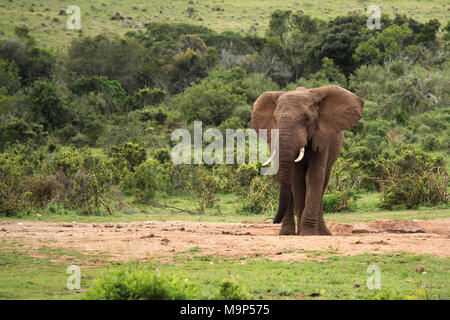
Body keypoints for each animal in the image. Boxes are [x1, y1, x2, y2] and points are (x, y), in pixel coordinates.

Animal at [251, 86, 364, 236]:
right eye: (275, 120)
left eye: (306, 119)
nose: (273, 220)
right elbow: (297, 180)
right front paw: (303, 232)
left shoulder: (322, 136)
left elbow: (314, 175)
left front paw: (309, 233)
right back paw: (287, 233)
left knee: (323, 183)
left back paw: (323, 233)